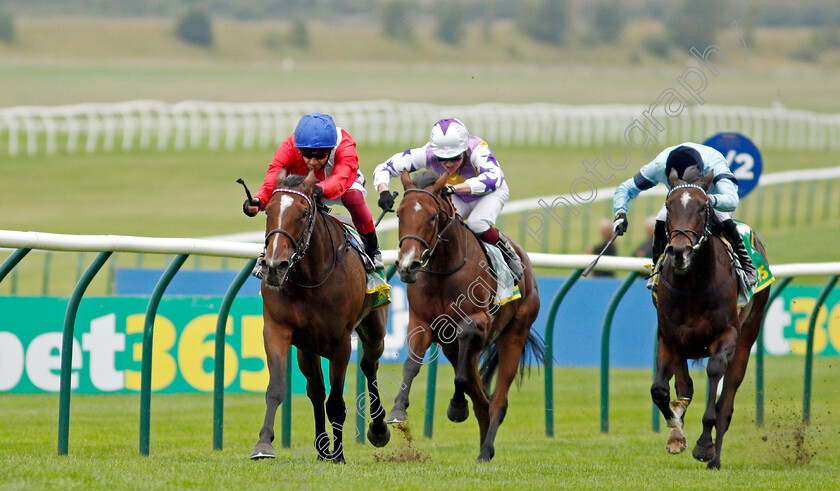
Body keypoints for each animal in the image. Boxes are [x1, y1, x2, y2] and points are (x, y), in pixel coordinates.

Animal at [251, 173, 392, 466]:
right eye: (268, 211)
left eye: (304, 213)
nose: (274, 266)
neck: (311, 276)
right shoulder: (277, 330)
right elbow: (277, 388)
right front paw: (264, 444)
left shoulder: (340, 343)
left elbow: (336, 402)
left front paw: (339, 455)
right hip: (308, 348)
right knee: (316, 391)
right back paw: (321, 448)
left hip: (374, 330)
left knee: (369, 365)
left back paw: (377, 428)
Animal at [386, 171, 540, 464]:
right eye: (399, 214)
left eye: (432, 217)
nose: (408, 265)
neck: (444, 270)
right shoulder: (422, 323)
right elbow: (411, 365)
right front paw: (397, 410)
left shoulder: (479, 322)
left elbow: (462, 362)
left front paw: (457, 407)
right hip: (453, 349)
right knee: (482, 398)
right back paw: (484, 448)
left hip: (515, 333)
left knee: (497, 399)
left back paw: (485, 451)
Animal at [652, 171, 772, 470]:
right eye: (669, 206)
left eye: (702, 207)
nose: (679, 251)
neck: (694, 284)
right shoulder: (669, 337)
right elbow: (660, 389)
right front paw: (675, 423)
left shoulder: (727, 335)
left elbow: (715, 380)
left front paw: (704, 446)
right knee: (685, 385)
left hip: (747, 338)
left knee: (725, 403)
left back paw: (714, 460)